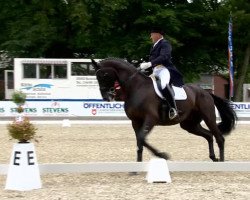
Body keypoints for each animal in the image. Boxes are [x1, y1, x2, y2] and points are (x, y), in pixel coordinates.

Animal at [92, 57, 236, 162]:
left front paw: (162, 155)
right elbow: (140, 141)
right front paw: (139, 164)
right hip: (189, 124)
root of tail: (206, 92)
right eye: (97, 76)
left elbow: (142, 138)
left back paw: (221, 161)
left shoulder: (151, 119)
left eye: (104, 75)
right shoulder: (135, 121)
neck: (136, 87)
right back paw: (213, 157)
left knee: (219, 138)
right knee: (209, 135)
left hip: (208, 118)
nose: (106, 97)